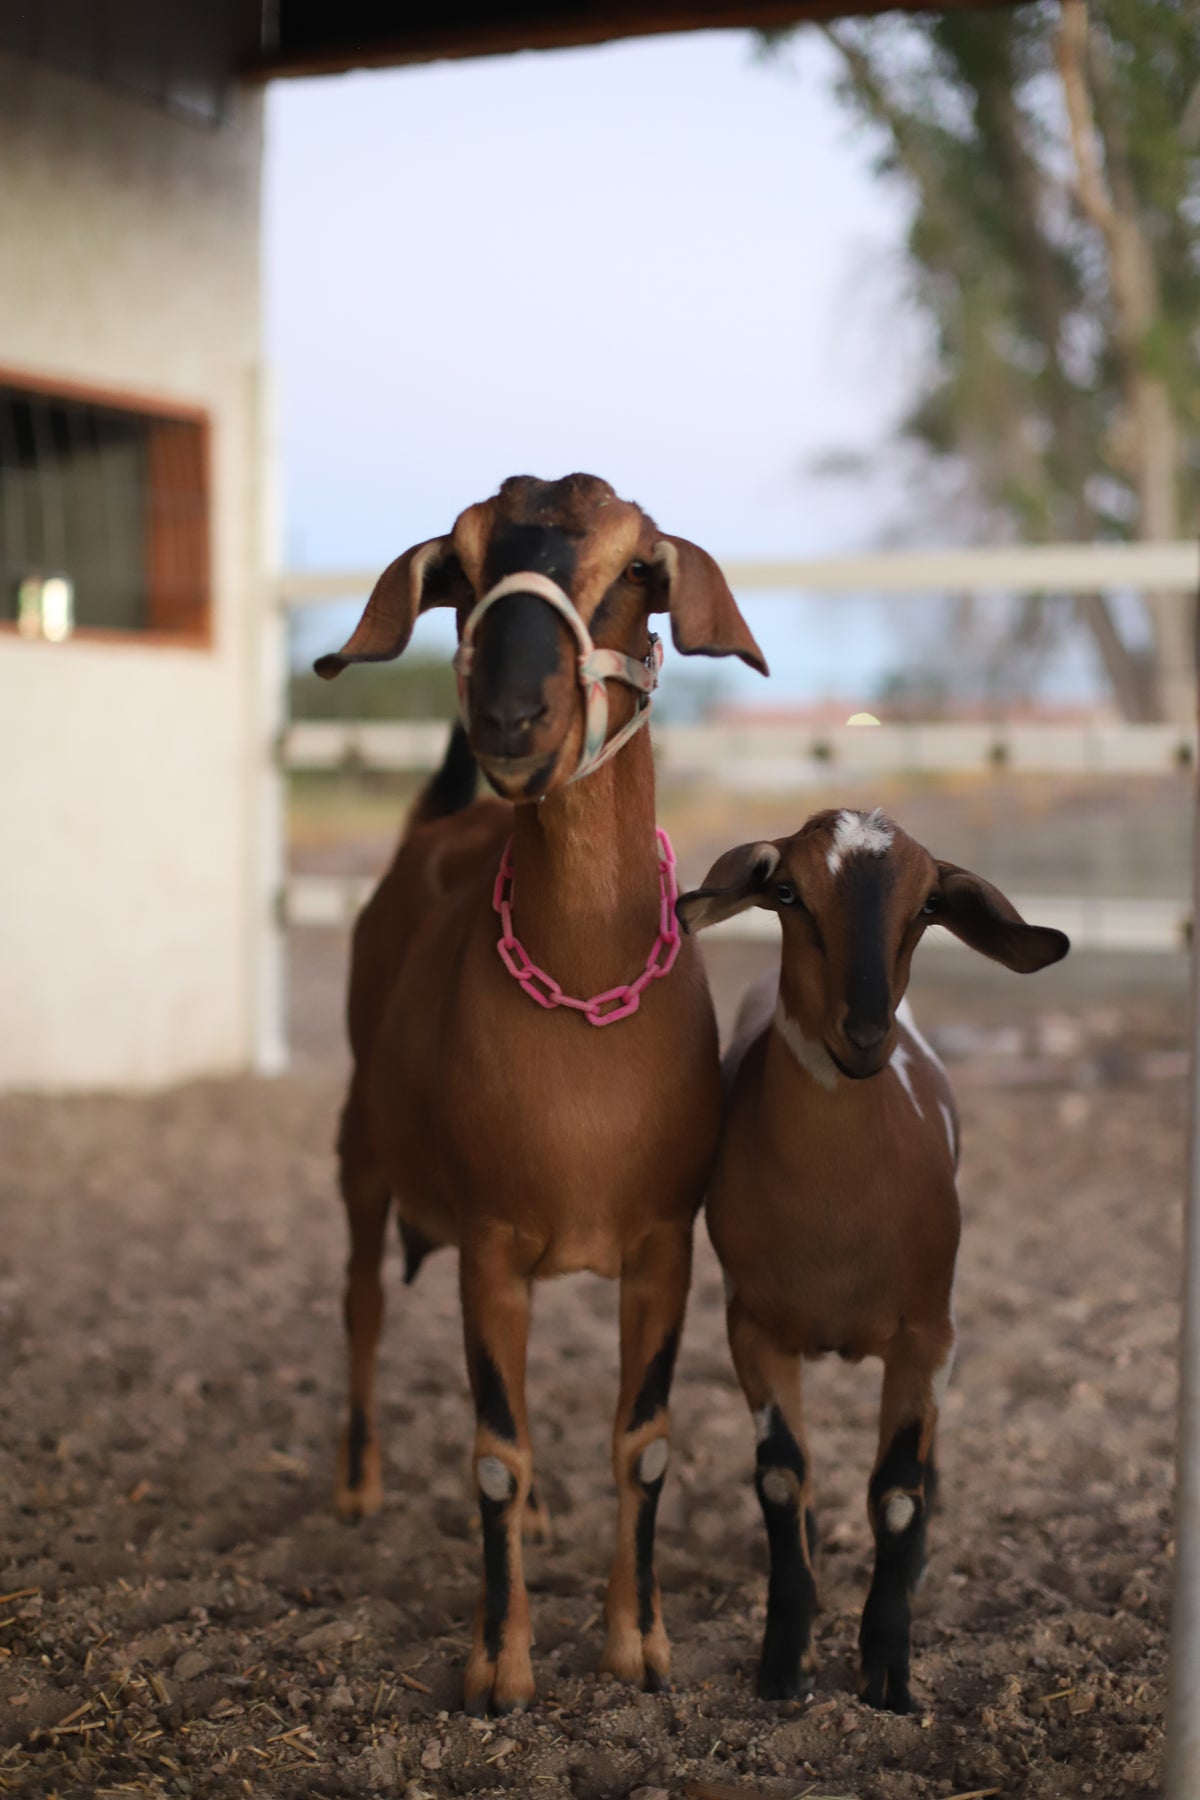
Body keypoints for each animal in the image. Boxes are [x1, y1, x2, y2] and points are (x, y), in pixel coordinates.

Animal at [313, 473, 766, 1714]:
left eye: (636, 569)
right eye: (460, 569)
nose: (511, 720)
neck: (583, 996)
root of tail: (439, 822)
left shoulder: (663, 1241)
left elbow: (641, 1439)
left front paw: (638, 1645)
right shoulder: (489, 1238)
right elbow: (492, 1451)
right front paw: (497, 1664)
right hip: (362, 1150)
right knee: (362, 1305)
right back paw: (358, 1481)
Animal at [676, 808, 1068, 1714]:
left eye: (927, 906)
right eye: (788, 892)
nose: (863, 1036)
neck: (838, 1208)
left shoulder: (928, 1331)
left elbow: (896, 1490)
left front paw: (888, 1669)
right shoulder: (751, 1325)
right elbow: (781, 1479)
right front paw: (784, 1662)